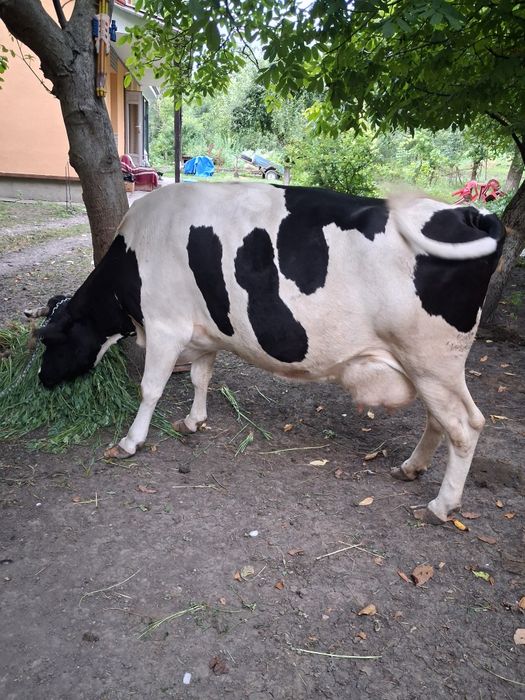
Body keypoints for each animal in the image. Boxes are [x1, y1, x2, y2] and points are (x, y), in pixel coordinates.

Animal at [35, 182, 503, 524]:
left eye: (50, 340)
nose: (41, 380)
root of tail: (466, 212)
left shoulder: (166, 326)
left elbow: (151, 389)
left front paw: (130, 441)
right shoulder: (205, 332)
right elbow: (200, 376)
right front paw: (193, 421)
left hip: (433, 360)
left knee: (465, 426)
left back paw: (442, 505)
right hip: (426, 366)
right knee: (438, 419)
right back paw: (410, 468)